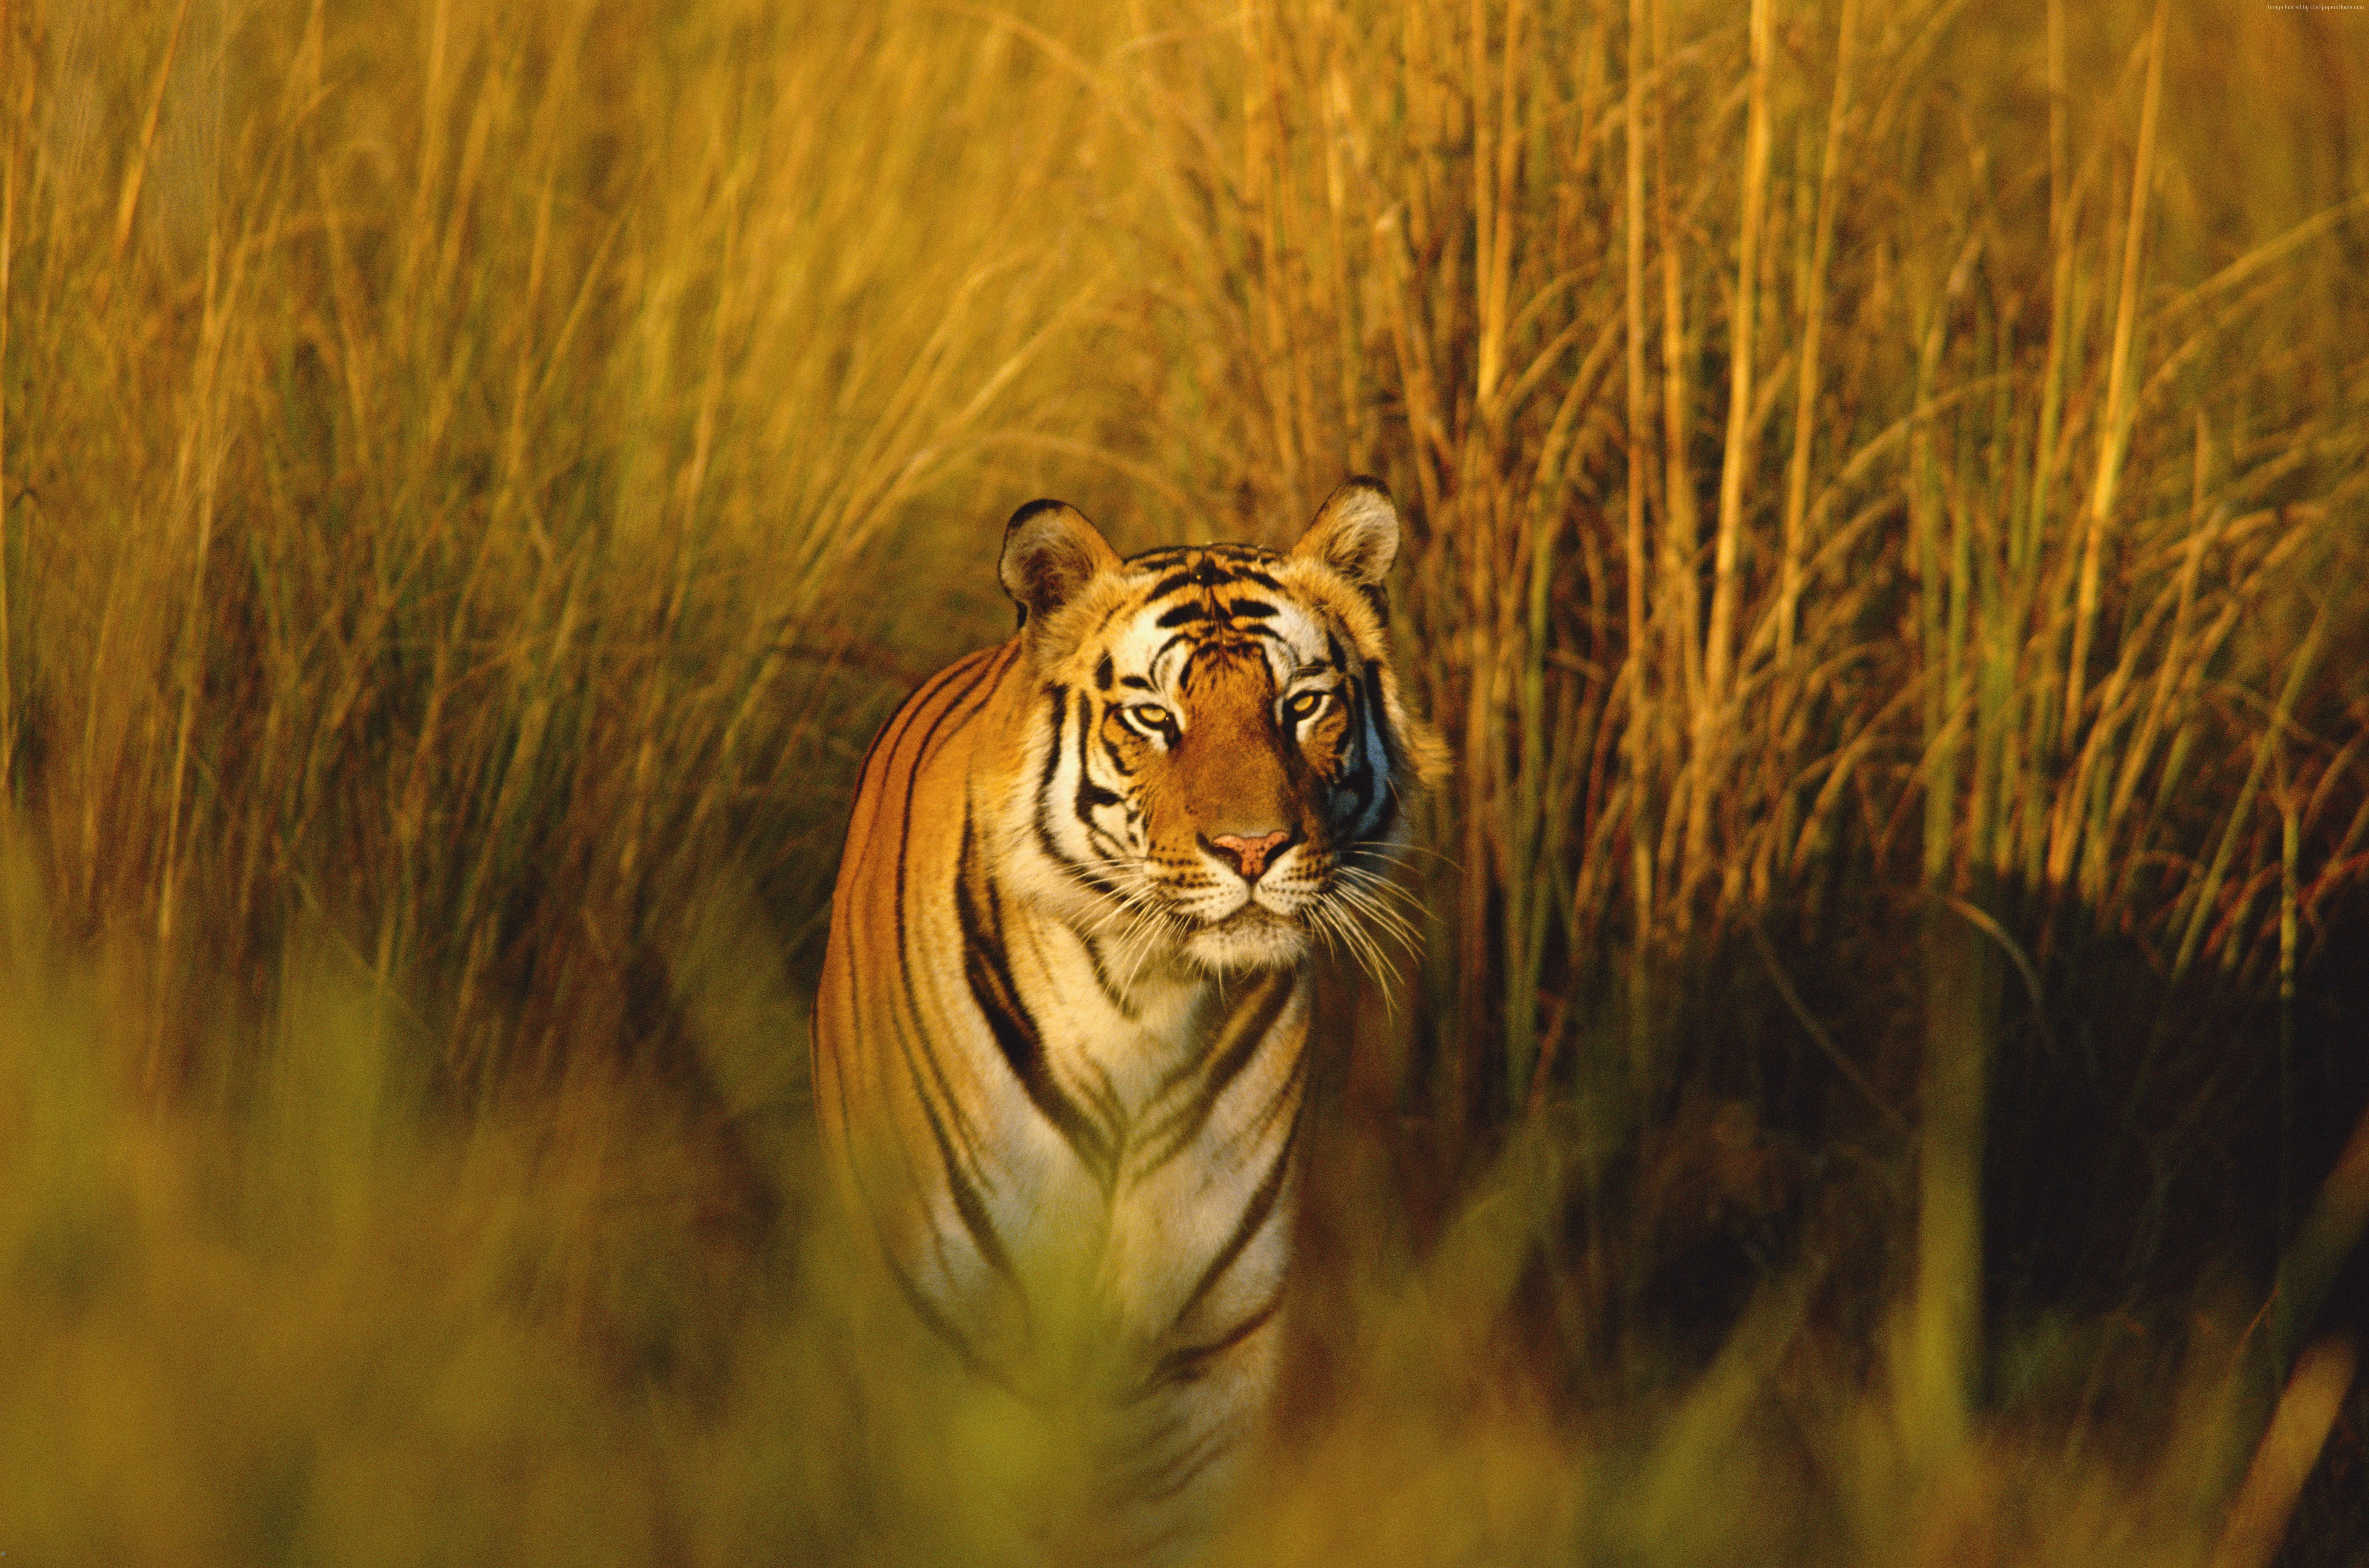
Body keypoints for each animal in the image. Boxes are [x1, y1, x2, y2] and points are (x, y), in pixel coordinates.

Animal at [815, 478, 1440, 1563]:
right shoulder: (957, 1342)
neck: (1145, 1004)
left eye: (1301, 704)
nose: (1253, 848)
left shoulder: (1208, 1358)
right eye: (1155, 716)